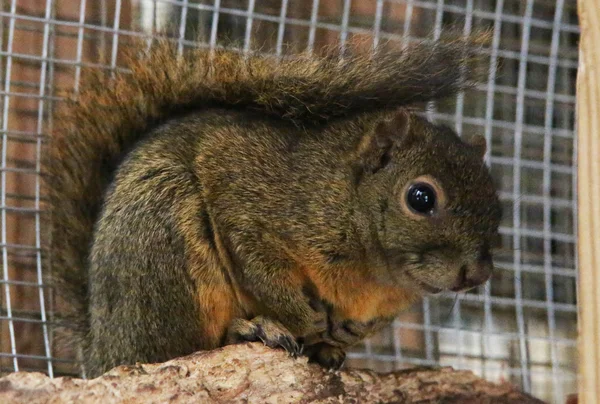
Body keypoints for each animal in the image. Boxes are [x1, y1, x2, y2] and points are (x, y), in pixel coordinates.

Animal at [42, 32, 502, 378]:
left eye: (498, 202)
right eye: (421, 198)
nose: (479, 274)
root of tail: (103, 350)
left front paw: (343, 336)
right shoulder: (243, 190)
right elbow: (258, 265)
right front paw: (300, 317)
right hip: (164, 240)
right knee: (177, 348)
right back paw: (248, 329)